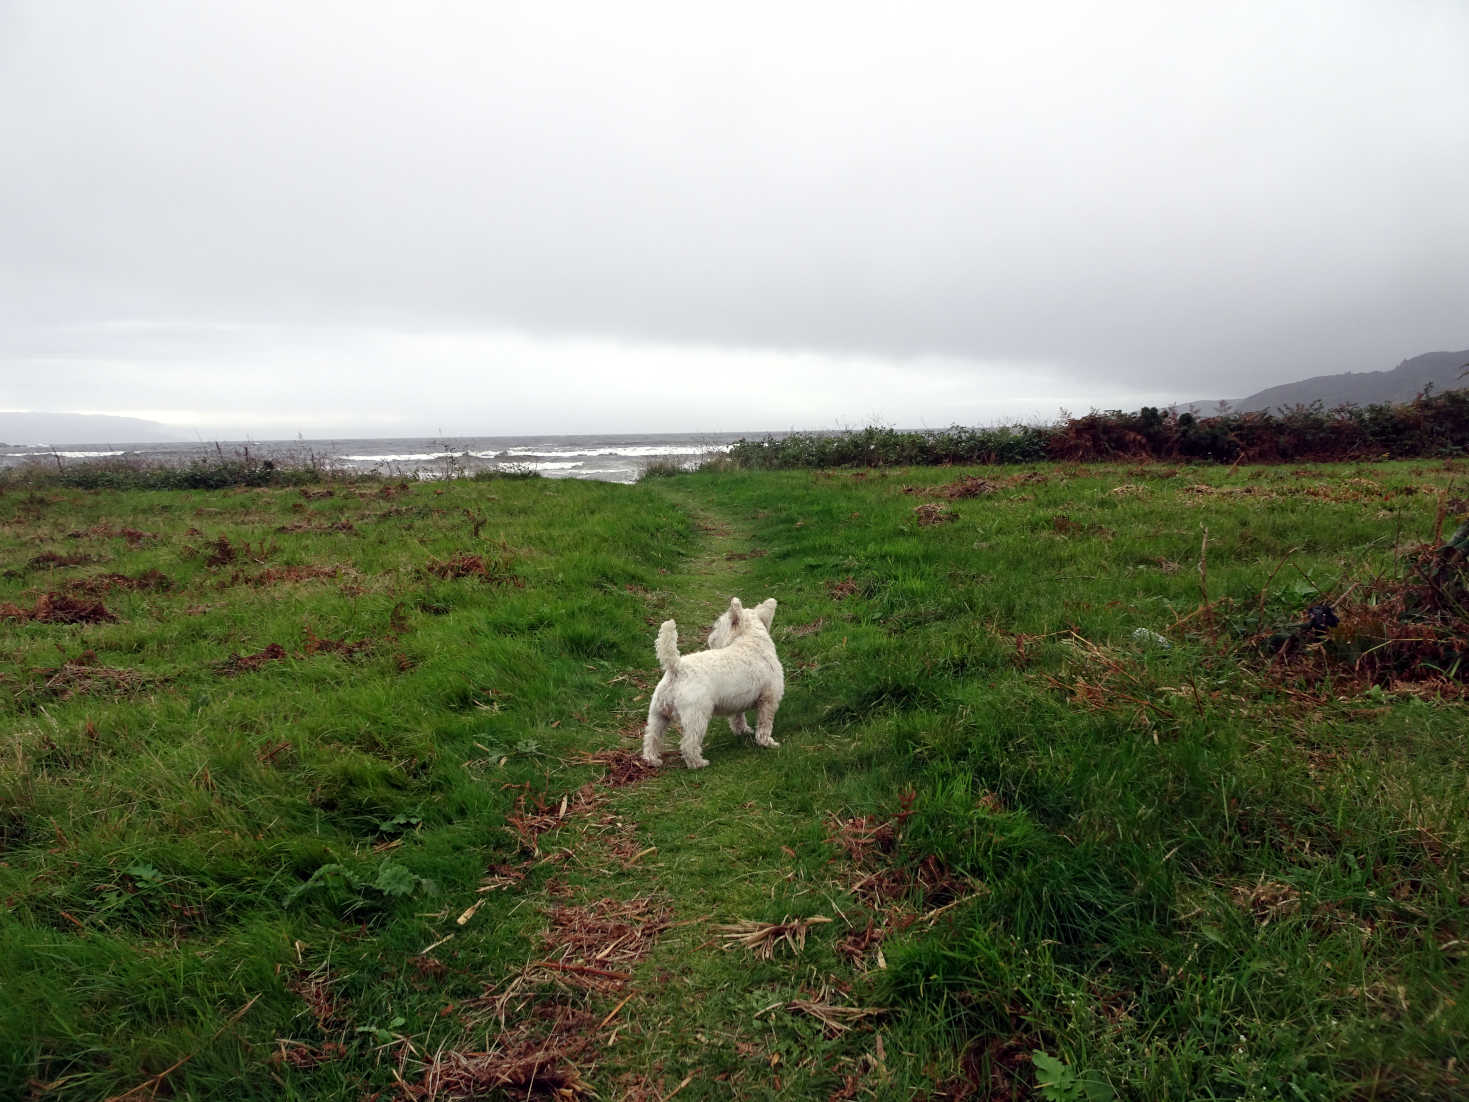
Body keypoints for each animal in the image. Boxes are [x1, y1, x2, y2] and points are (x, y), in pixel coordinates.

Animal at [640, 599, 781, 769]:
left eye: (718, 625)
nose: (710, 638)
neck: (752, 642)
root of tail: (677, 667)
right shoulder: (769, 699)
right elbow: (765, 724)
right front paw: (767, 743)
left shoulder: (738, 700)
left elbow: (738, 718)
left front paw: (743, 731)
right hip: (697, 717)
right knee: (688, 744)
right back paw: (699, 763)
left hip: (658, 714)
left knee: (651, 737)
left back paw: (652, 759)